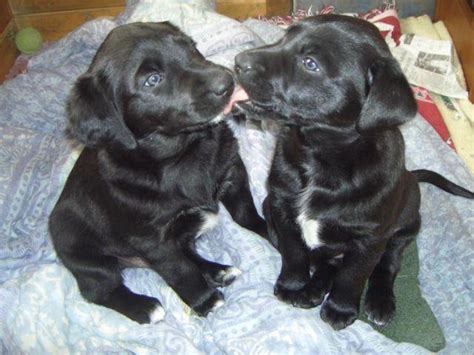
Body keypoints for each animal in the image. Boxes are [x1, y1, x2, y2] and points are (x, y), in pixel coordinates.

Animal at [50, 23, 268, 326]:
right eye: (152, 80)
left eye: (191, 47)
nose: (228, 81)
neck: (184, 153)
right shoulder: (151, 240)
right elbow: (179, 270)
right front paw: (205, 301)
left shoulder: (233, 171)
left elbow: (246, 214)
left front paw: (272, 232)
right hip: (87, 256)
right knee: (98, 290)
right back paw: (144, 307)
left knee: (188, 252)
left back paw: (218, 271)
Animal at [234, 13, 474, 330]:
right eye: (285, 37)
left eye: (310, 63)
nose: (238, 61)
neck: (320, 159)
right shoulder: (280, 208)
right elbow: (294, 253)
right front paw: (293, 285)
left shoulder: (369, 238)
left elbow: (353, 276)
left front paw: (340, 309)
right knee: (326, 264)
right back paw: (312, 290)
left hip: (407, 224)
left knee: (387, 265)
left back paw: (379, 301)